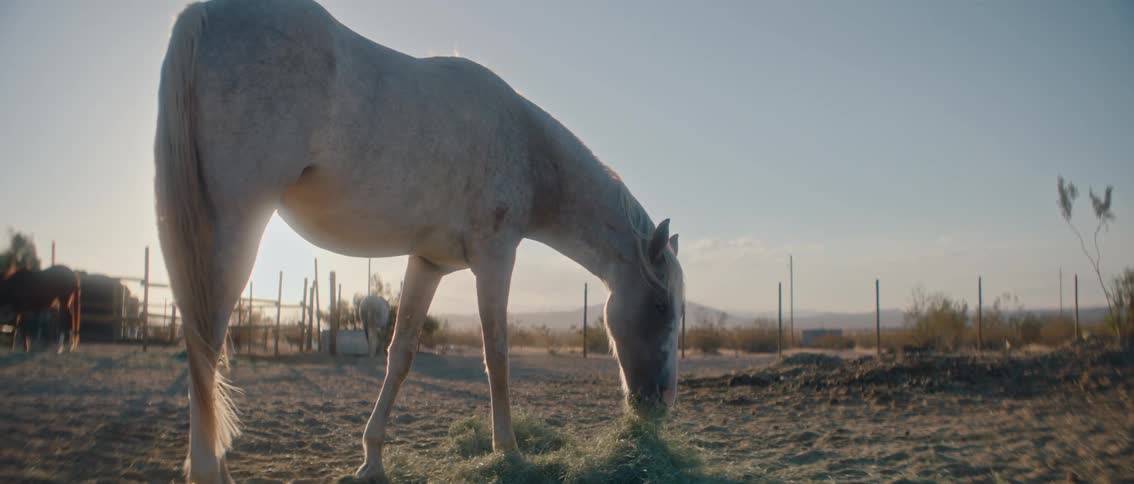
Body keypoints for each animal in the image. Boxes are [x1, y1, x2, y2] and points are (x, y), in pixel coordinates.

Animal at [155, 1, 683, 481]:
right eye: (662, 307)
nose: (661, 403)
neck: (529, 149)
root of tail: (204, 15)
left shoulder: (428, 263)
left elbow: (401, 354)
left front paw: (372, 460)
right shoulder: (495, 257)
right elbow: (497, 354)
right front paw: (507, 449)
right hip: (234, 229)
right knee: (207, 343)